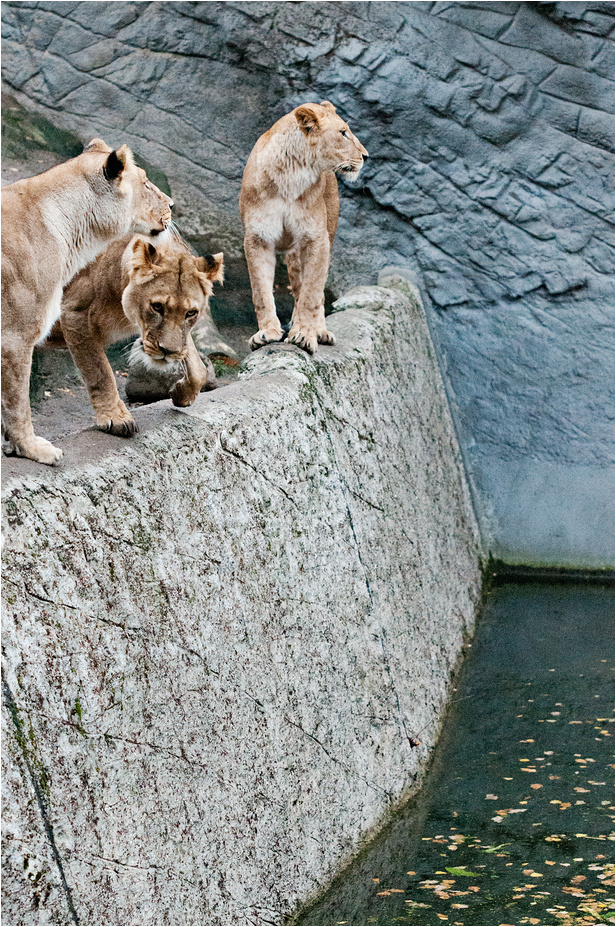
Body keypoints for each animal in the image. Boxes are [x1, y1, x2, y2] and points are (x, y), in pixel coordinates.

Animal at [45, 235, 224, 436]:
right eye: (157, 307)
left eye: (191, 313)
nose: (168, 351)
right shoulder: (74, 313)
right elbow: (100, 373)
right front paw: (116, 418)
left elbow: (197, 368)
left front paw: (180, 394)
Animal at [239, 101, 368, 355]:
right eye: (343, 133)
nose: (366, 156)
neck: (291, 174)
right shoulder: (258, 238)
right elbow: (261, 291)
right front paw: (267, 333)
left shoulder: (316, 238)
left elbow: (311, 294)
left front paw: (304, 335)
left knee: (313, 292)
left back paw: (319, 331)